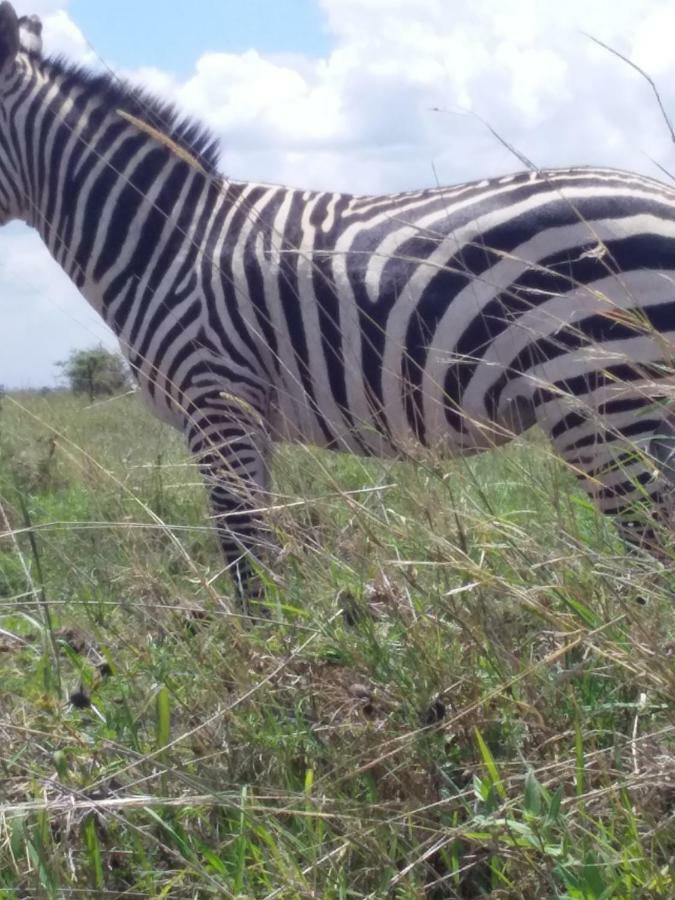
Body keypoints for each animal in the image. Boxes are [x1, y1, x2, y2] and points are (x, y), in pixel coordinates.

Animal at [3, 3, 675, 608]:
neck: (163, 241)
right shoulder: (246, 417)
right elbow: (262, 547)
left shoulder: (215, 400)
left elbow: (243, 553)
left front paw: (263, 655)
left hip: (605, 395)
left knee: (651, 552)